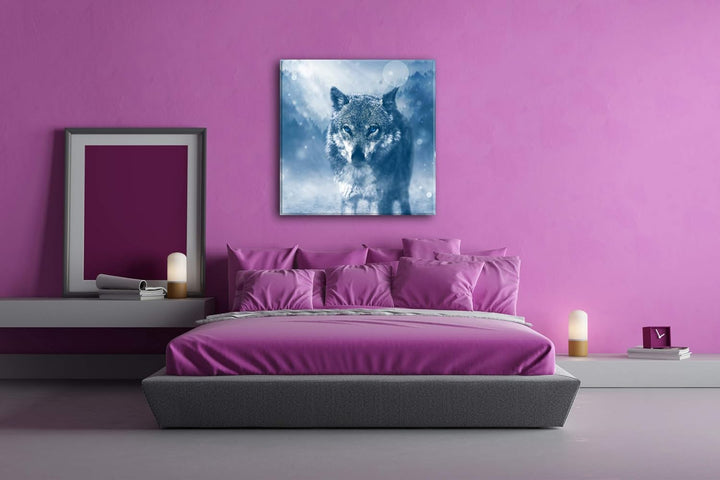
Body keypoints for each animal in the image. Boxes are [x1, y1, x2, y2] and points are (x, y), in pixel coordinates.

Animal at [326, 86, 413, 215]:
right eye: (347, 129)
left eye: (372, 129)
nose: (357, 157)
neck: (360, 176)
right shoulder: (349, 200)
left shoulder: (378, 201)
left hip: (402, 184)